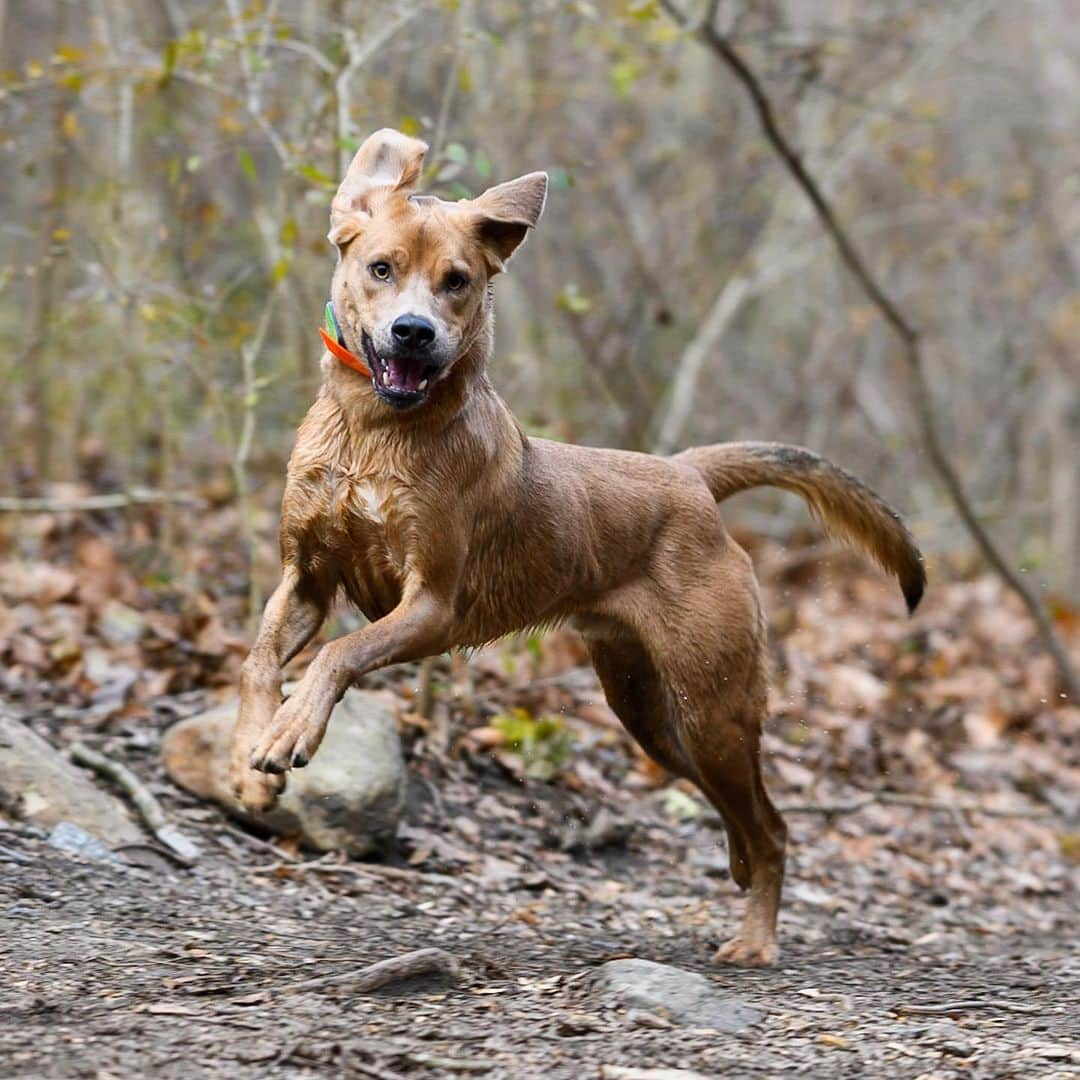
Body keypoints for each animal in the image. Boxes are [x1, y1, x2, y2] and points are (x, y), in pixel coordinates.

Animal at [232, 130, 924, 967]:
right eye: (381, 268)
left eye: (458, 281)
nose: (414, 333)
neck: (376, 433)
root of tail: (689, 474)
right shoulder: (305, 578)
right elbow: (259, 662)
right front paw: (253, 759)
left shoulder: (431, 605)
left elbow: (338, 655)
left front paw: (292, 731)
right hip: (648, 710)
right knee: (743, 812)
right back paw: (737, 870)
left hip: (713, 704)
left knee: (776, 826)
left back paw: (755, 941)